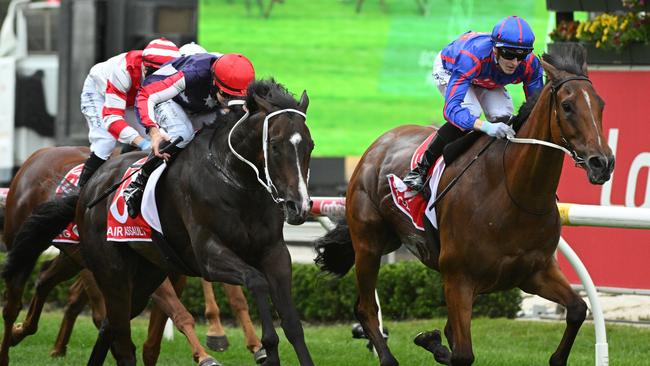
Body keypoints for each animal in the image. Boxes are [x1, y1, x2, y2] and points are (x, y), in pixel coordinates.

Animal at [314, 42, 612, 364]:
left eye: (601, 104)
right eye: (567, 106)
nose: (603, 162)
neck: (513, 192)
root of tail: (377, 145)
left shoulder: (535, 271)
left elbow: (578, 309)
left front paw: (431, 339)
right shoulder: (458, 278)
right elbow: (463, 354)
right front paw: (432, 341)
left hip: (392, 239)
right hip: (368, 244)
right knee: (366, 308)